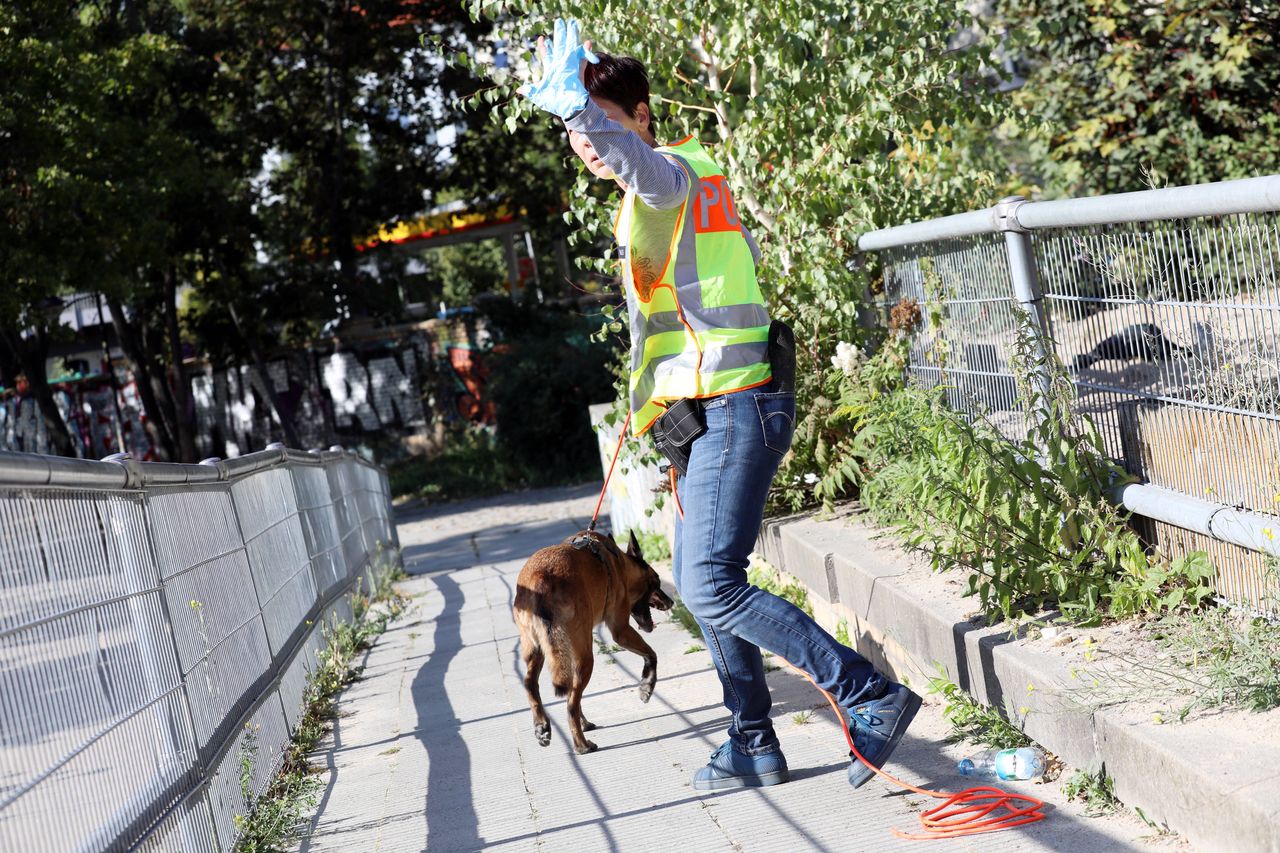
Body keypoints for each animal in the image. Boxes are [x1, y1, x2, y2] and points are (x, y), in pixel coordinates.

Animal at [512, 527, 675, 753]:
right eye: (657, 581)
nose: (671, 602)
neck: (619, 563)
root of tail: (539, 578)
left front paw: (585, 723)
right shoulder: (621, 631)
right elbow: (651, 654)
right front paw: (646, 686)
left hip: (538, 650)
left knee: (534, 685)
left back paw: (542, 726)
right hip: (585, 657)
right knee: (571, 703)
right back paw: (582, 745)